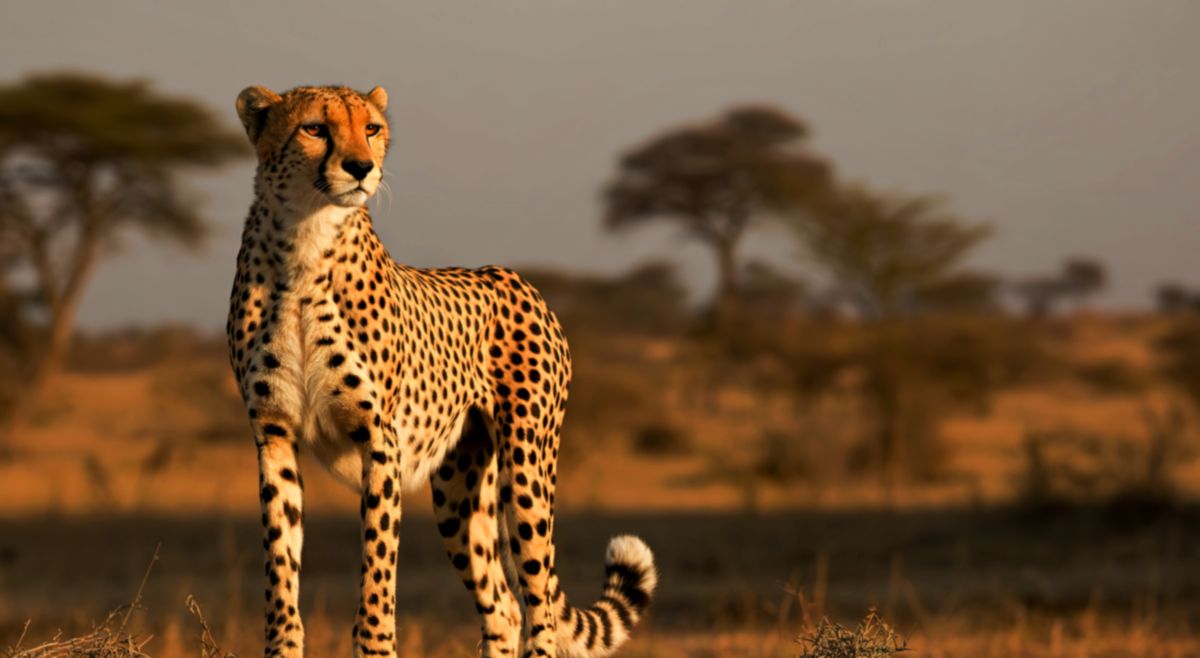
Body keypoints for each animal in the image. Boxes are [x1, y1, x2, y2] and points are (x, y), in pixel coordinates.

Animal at [226, 83, 656, 658]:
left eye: (371, 128)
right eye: (315, 128)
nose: (361, 167)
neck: (305, 239)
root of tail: (513, 276)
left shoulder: (379, 440)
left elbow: (378, 570)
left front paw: (376, 644)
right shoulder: (273, 436)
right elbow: (281, 562)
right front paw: (282, 642)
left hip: (527, 466)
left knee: (539, 603)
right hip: (459, 490)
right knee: (503, 607)